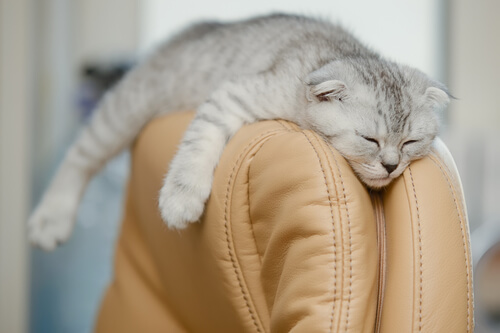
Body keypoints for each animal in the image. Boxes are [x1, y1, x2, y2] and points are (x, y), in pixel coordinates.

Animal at [27, 13, 452, 249]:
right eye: (370, 140)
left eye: (411, 142)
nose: (391, 166)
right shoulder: (232, 95)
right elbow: (199, 144)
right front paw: (182, 197)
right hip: (128, 106)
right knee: (80, 155)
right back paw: (51, 218)